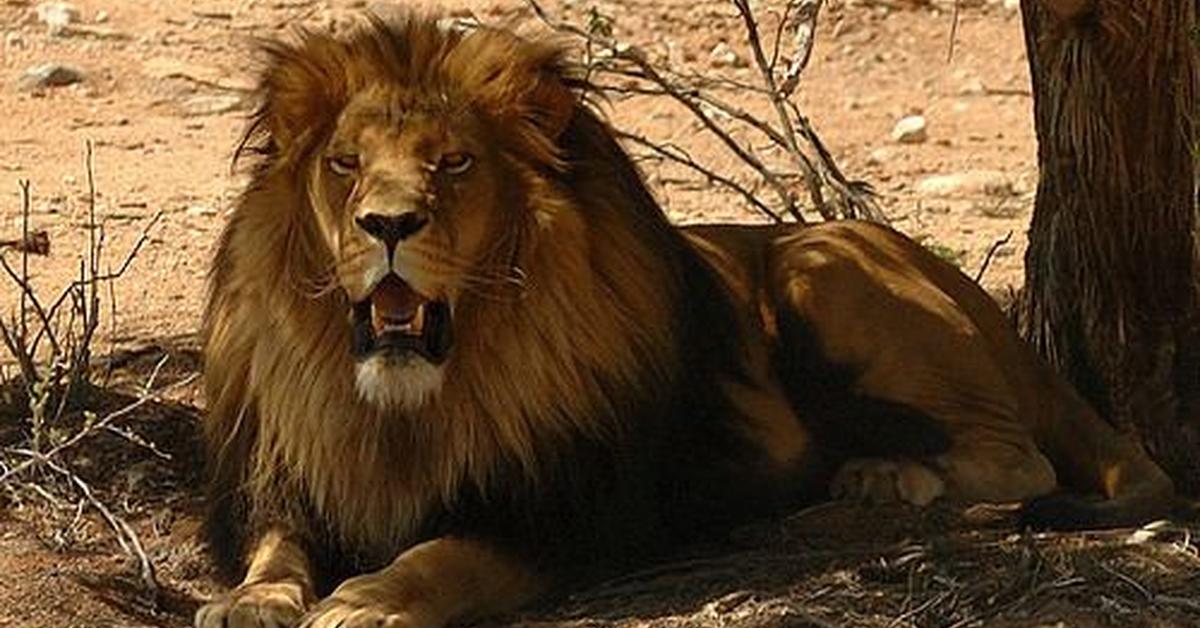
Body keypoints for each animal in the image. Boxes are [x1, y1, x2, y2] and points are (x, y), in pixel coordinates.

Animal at [196, 14, 1171, 628]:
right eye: (344, 165)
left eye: (456, 164)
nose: (387, 225)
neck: (405, 407)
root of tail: (980, 299)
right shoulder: (291, 478)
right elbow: (276, 549)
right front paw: (255, 600)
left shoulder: (575, 509)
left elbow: (444, 553)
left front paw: (366, 601)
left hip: (822, 267)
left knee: (1020, 456)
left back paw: (876, 480)